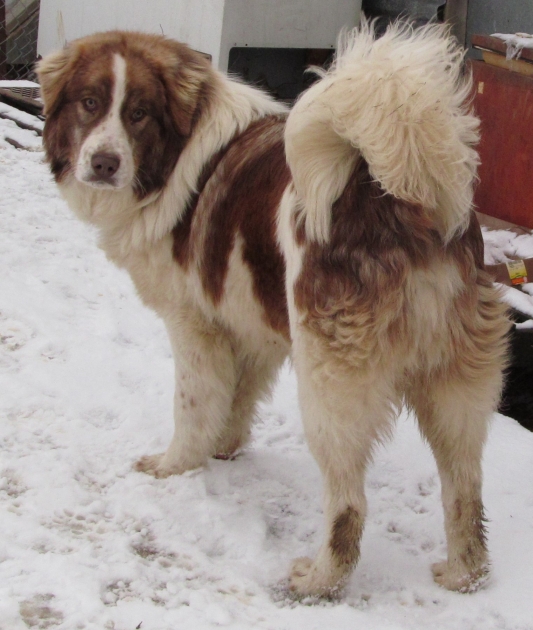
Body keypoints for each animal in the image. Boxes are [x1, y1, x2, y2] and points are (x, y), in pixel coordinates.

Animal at [37, 21, 509, 597]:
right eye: (89, 102)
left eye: (139, 113)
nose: (103, 163)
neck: (179, 152)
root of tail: (403, 200)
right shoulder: (251, 327)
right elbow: (236, 399)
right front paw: (224, 448)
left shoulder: (195, 327)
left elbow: (193, 407)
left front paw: (175, 466)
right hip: (453, 386)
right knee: (464, 487)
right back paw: (463, 573)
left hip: (332, 384)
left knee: (349, 504)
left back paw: (319, 579)